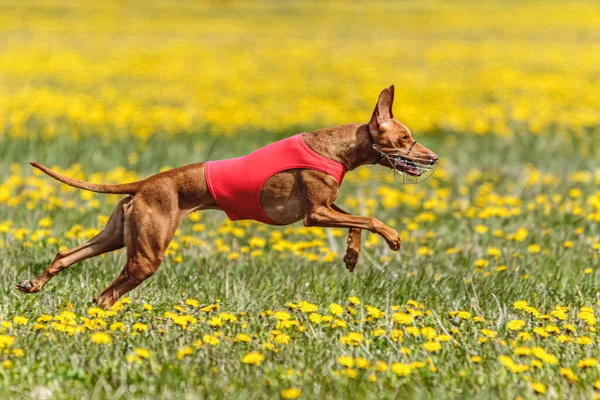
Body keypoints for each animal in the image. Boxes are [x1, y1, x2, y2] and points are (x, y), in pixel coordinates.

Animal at [16, 85, 438, 310]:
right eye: (404, 138)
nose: (433, 157)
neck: (335, 147)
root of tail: (148, 181)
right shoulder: (315, 214)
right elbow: (369, 219)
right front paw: (393, 237)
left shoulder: (326, 208)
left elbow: (357, 223)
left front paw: (351, 256)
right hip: (146, 254)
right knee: (105, 295)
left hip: (117, 235)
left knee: (66, 254)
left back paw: (33, 285)